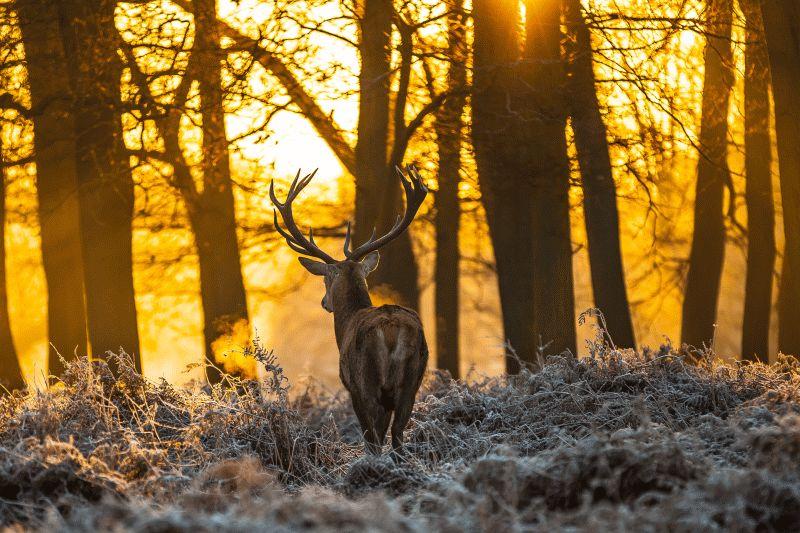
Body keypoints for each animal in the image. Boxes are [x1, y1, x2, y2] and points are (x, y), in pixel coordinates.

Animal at [270, 166, 429, 456]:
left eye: (326, 279)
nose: (324, 302)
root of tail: (391, 328)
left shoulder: (351, 386)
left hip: (367, 380)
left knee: (375, 438)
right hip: (412, 381)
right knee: (398, 435)